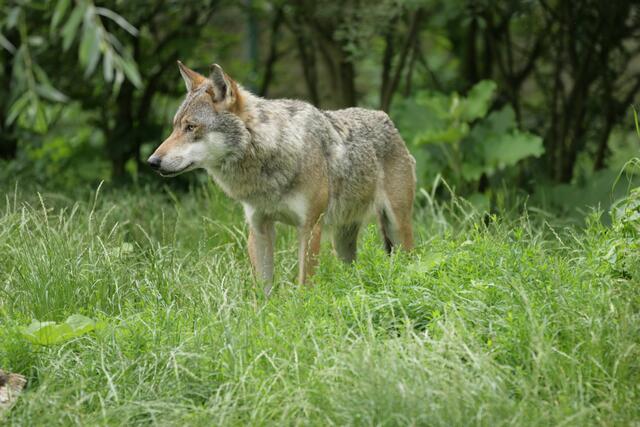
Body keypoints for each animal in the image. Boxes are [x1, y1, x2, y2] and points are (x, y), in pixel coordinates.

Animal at [148, 61, 416, 293]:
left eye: (191, 127)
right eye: (174, 127)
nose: (152, 162)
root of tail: (386, 119)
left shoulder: (310, 227)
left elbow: (304, 283)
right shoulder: (259, 227)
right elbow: (262, 288)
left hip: (396, 226)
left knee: (409, 258)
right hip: (342, 240)